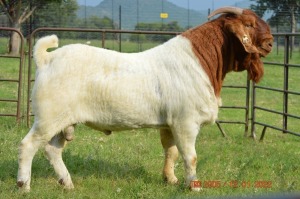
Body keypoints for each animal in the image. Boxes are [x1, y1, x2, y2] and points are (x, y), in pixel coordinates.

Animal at [17, 7, 274, 191]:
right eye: (249, 24)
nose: (271, 42)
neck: (201, 61)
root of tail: (47, 59)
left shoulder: (170, 123)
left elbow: (171, 152)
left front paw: (170, 179)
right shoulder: (186, 122)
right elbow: (190, 156)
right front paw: (194, 186)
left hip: (63, 121)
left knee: (52, 150)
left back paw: (67, 183)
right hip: (48, 118)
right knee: (28, 145)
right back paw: (24, 185)